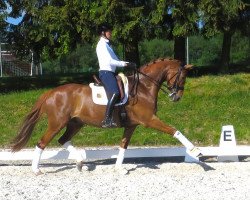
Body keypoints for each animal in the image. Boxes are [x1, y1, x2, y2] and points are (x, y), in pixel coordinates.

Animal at [12, 58, 203, 175]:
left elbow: (123, 146)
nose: (176, 97)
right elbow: (174, 130)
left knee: (62, 140)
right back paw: (37, 170)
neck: (143, 87)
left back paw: (80, 162)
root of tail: (51, 92)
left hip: (75, 123)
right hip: (57, 123)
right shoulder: (149, 120)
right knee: (41, 143)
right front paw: (196, 151)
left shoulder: (131, 125)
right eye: (182, 77)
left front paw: (119, 168)